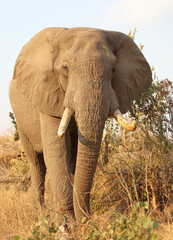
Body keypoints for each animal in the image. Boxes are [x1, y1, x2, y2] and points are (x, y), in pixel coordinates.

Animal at [8, 27, 152, 224]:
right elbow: (56, 149)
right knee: (37, 164)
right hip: (21, 121)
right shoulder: (49, 93)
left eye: (114, 69)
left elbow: (74, 153)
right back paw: (40, 216)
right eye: (65, 68)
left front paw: (76, 220)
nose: (87, 219)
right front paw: (66, 223)